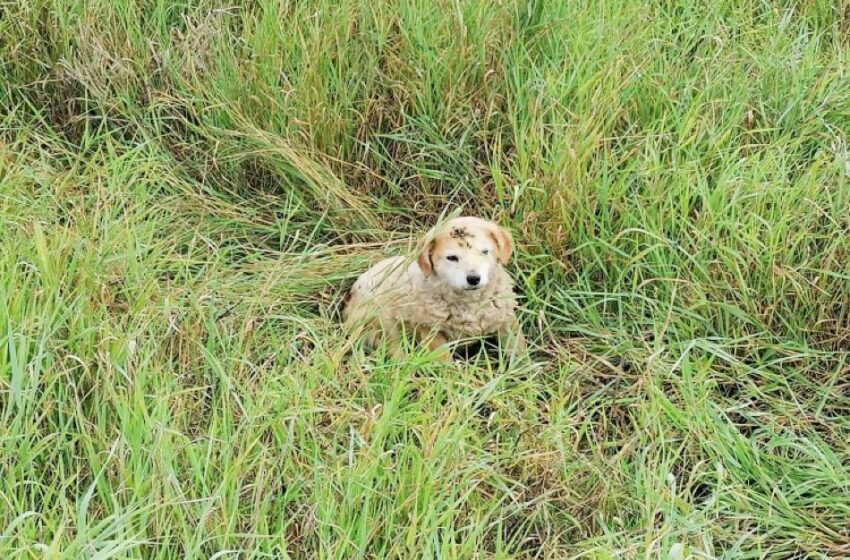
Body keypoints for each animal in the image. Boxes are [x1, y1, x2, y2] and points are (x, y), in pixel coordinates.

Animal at [342, 214, 520, 358]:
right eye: (452, 257)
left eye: (484, 252)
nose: (473, 278)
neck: (470, 303)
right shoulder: (430, 330)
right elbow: (443, 360)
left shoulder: (506, 320)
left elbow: (518, 350)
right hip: (381, 321)